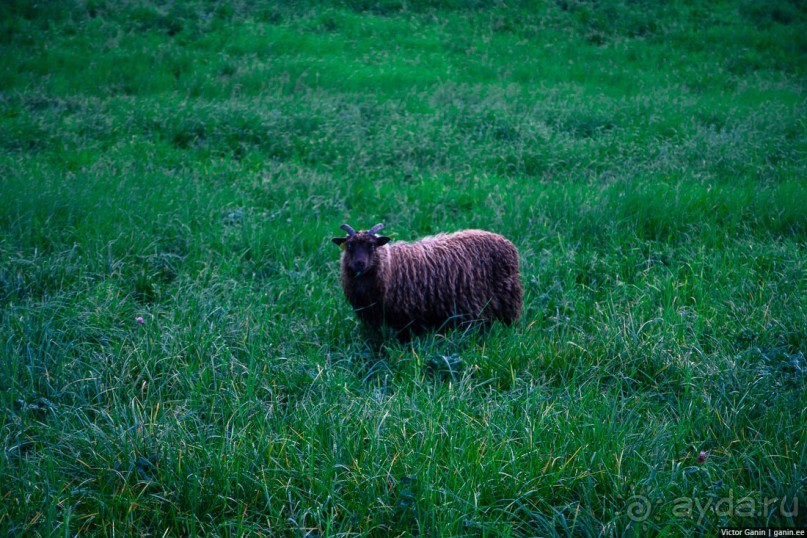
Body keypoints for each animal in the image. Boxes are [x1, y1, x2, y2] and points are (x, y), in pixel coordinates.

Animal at [330, 220, 524, 332]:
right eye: (349, 246)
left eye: (372, 246)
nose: (359, 264)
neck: (391, 266)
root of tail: (507, 243)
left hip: (508, 302)